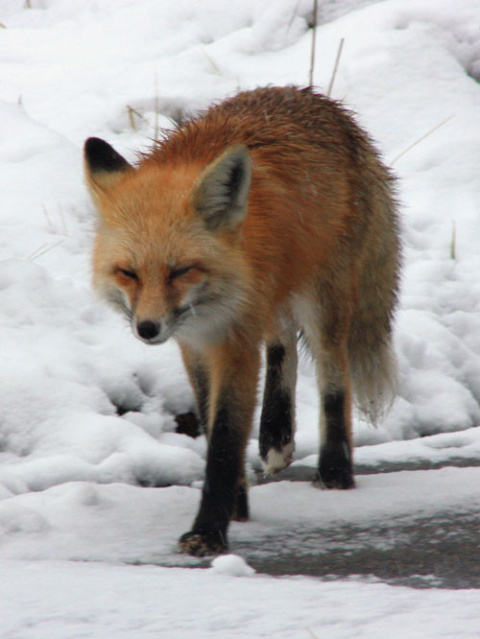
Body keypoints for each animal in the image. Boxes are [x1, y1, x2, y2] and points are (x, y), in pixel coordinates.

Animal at [84, 87, 400, 556]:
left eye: (181, 271)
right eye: (129, 273)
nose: (148, 329)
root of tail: (323, 103)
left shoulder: (233, 342)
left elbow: (225, 439)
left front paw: (209, 531)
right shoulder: (195, 344)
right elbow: (210, 419)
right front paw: (236, 503)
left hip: (323, 300)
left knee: (333, 375)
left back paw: (335, 470)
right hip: (277, 299)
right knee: (282, 343)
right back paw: (276, 436)